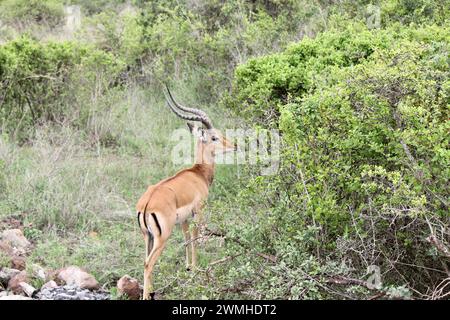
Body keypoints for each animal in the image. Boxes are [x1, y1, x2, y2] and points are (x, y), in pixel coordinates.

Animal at [136, 87, 236, 300]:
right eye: (214, 137)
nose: (234, 145)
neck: (198, 173)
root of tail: (147, 204)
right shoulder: (199, 212)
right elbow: (196, 239)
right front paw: (196, 270)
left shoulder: (183, 219)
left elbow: (187, 239)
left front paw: (188, 268)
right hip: (162, 237)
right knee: (149, 264)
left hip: (147, 236)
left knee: (144, 261)